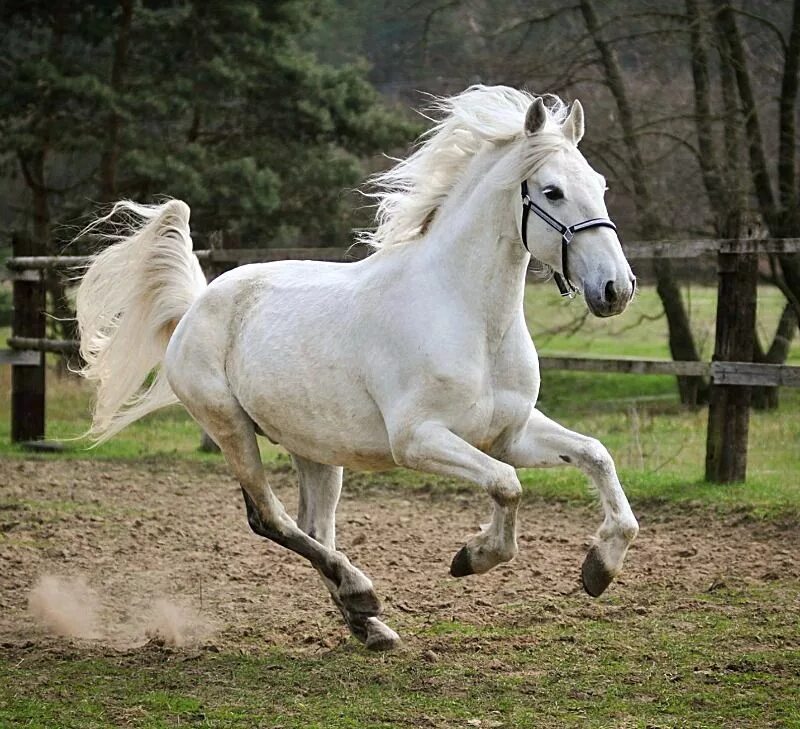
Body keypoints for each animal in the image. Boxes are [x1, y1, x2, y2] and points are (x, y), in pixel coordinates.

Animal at [75, 85, 636, 648]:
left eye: (601, 185)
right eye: (552, 192)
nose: (617, 289)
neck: (471, 319)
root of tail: (196, 304)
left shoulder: (509, 434)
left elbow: (596, 456)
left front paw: (599, 568)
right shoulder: (418, 440)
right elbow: (507, 485)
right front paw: (473, 557)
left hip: (315, 446)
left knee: (313, 526)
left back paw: (366, 622)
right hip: (229, 425)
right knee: (270, 518)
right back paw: (362, 594)